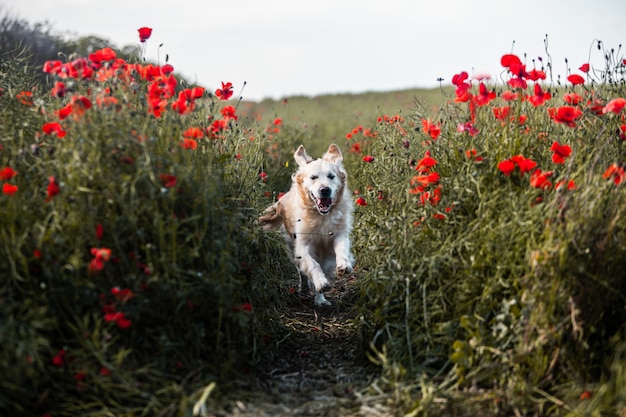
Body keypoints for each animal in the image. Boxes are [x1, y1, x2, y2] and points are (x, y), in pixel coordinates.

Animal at [258, 144, 354, 306]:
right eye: (313, 177)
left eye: (331, 176)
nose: (325, 190)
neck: (320, 216)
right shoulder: (302, 245)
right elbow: (312, 264)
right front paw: (321, 282)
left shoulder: (338, 234)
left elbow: (341, 248)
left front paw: (343, 265)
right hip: (292, 246)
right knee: (302, 271)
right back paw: (305, 289)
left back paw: (321, 299)